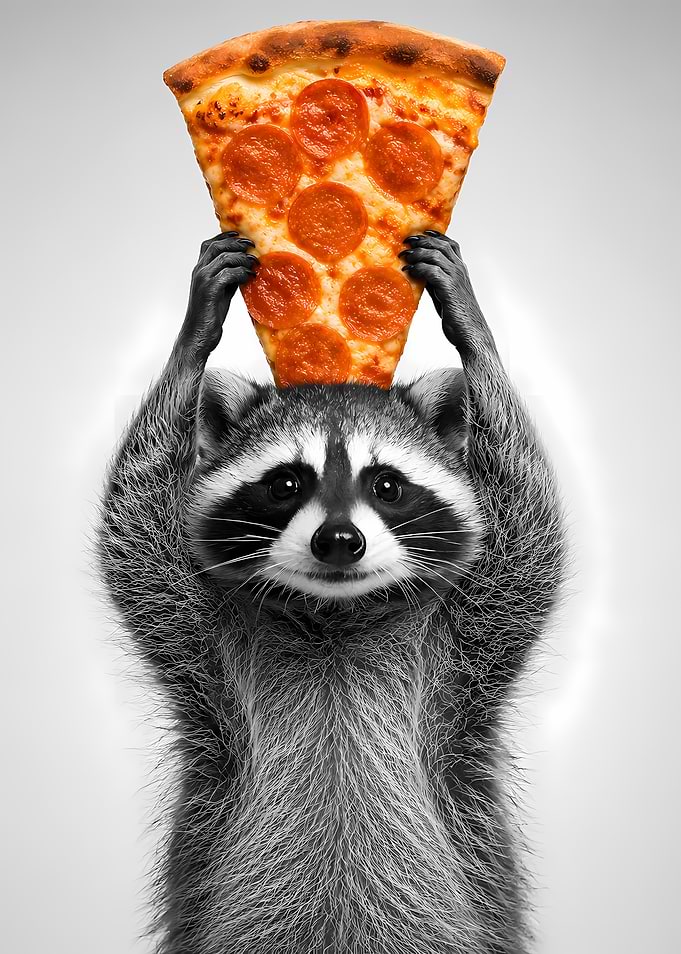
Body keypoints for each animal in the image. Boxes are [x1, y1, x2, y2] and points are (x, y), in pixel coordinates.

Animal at [98, 230, 566, 954]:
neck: (334, 619)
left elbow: (527, 527)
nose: (339, 541)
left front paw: (471, 328)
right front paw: (195, 332)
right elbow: (136, 528)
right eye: (286, 483)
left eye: (387, 485)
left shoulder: (465, 660)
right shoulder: (205, 653)